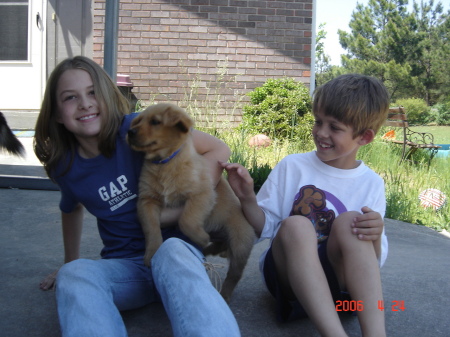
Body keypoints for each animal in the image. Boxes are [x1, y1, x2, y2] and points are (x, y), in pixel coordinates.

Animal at [126, 103, 255, 302]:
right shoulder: (146, 201)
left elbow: (186, 220)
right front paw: (152, 252)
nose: (129, 132)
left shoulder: (201, 194)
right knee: (219, 246)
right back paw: (208, 248)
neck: (164, 163)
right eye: (138, 121)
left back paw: (224, 294)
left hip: (240, 244)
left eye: (155, 122)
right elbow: (151, 228)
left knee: (234, 275)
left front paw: (200, 236)